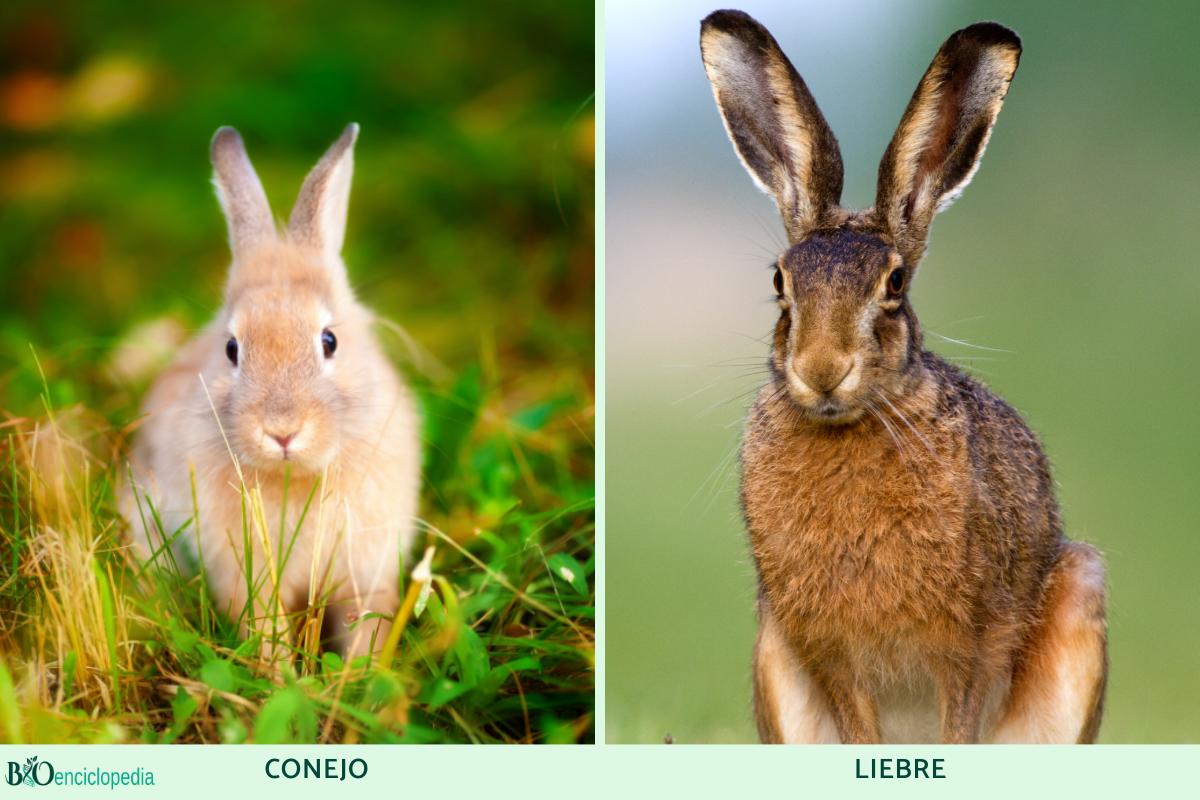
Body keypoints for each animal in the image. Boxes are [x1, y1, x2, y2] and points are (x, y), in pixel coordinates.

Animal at [120, 125, 422, 662]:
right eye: (232, 349)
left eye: (329, 341)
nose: (282, 432)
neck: (294, 477)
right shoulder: (243, 574)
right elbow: (262, 627)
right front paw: (283, 675)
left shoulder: (367, 568)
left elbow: (366, 624)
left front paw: (359, 678)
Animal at [700, 10, 1104, 743]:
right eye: (780, 282)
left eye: (893, 284)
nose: (822, 369)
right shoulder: (826, 651)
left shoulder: (973, 643)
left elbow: (960, 723)